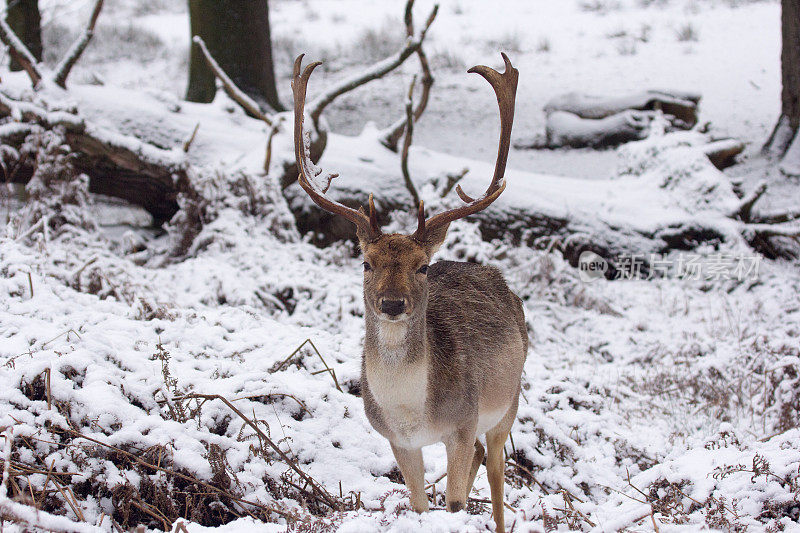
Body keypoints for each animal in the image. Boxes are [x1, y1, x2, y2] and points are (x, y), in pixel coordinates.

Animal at [292, 53, 524, 528]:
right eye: (366, 262)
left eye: (422, 266)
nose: (393, 303)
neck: (411, 413)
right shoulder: (397, 440)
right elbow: (419, 505)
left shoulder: (461, 422)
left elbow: (454, 505)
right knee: (483, 457)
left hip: (506, 402)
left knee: (497, 470)